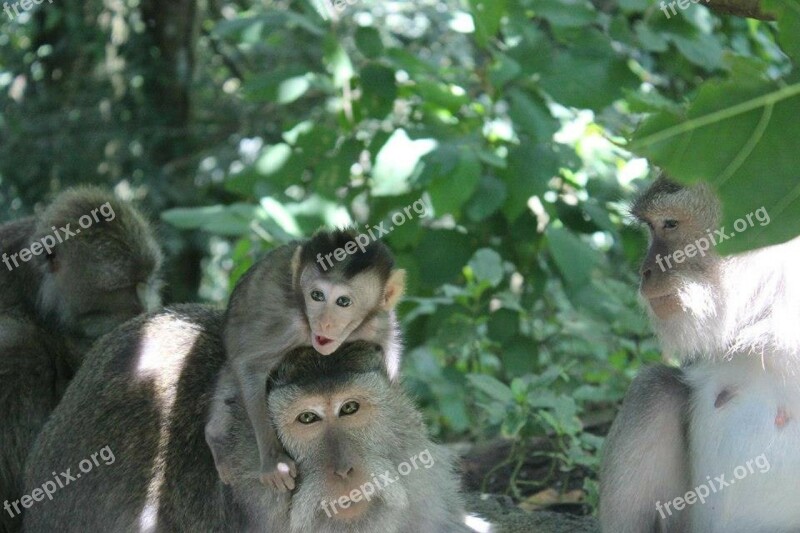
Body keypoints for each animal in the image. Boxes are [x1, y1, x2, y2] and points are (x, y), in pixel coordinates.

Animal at [206, 229, 406, 490]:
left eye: (343, 301)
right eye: (317, 296)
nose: (324, 322)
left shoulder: (379, 321)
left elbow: (390, 359)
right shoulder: (288, 325)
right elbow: (248, 365)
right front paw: (274, 461)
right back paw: (216, 438)